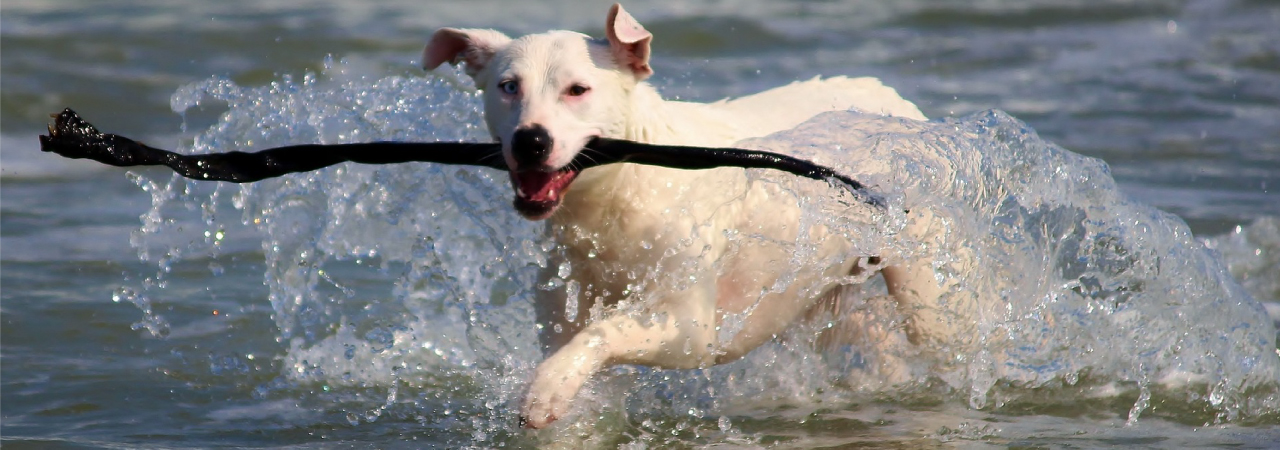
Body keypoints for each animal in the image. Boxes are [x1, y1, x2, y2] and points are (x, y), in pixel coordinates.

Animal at [422, 2, 952, 429]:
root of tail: (891, 99)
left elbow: (605, 332)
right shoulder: (563, 310)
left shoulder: (688, 328)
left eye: (578, 89)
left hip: (924, 285)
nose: (530, 140)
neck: (619, 193)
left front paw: (545, 390)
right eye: (508, 87)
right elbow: (584, 352)